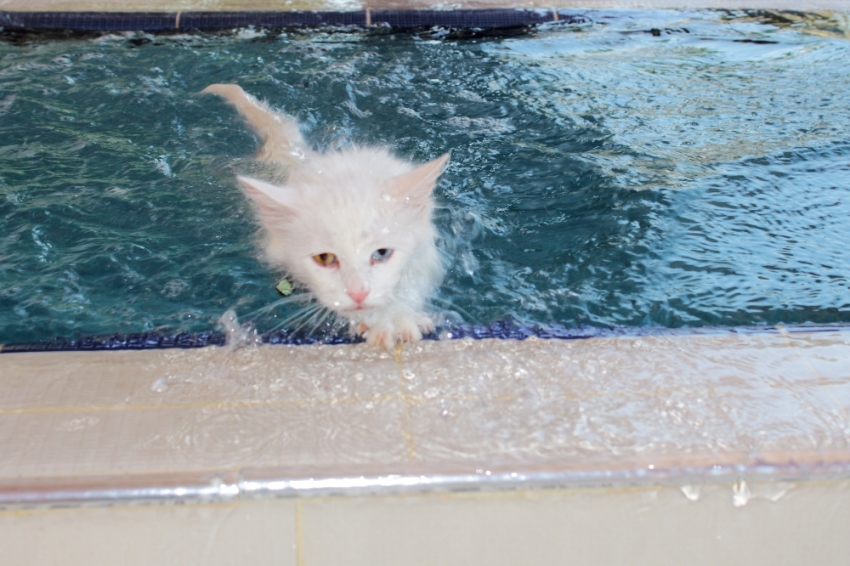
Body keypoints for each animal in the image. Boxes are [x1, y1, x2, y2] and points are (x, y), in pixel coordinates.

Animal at [202, 83, 448, 350]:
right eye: (324, 258)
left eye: (382, 253)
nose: (358, 292)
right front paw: (380, 320)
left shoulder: (428, 251)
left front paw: (396, 315)